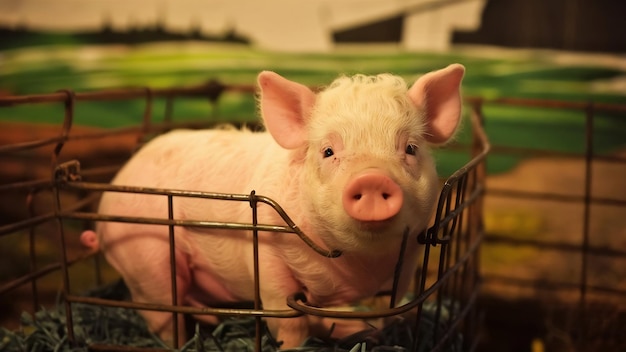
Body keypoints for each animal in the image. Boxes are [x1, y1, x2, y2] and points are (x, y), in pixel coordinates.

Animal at [80, 64, 464, 350]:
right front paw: (296, 345)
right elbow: (289, 322)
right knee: (163, 313)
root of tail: (112, 191)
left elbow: (388, 309)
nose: (371, 180)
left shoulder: (408, 257)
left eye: (411, 148)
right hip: (145, 254)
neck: (357, 269)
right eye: (328, 151)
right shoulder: (267, 257)